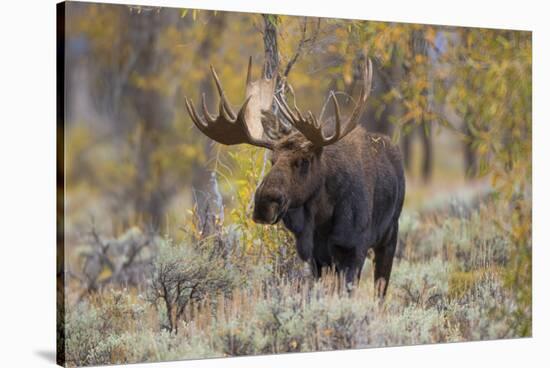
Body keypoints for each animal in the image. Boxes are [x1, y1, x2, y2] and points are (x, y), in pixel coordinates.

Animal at [185, 58, 406, 300]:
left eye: (304, 160)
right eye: (272, 160)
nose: (264, 204)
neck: (322, 217)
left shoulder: (354, 249)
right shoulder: (318, 257)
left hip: (389, 236)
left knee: (381, 290)